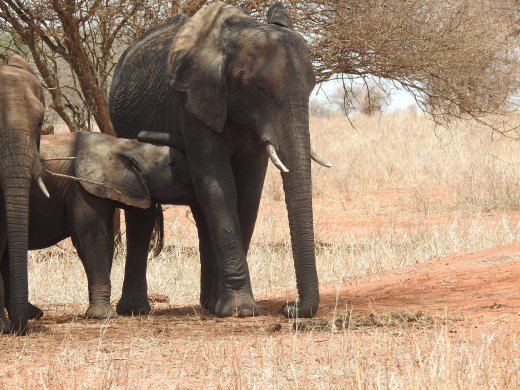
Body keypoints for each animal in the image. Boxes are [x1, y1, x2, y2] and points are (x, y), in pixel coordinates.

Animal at [0, 133, 195, 324]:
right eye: (171, 163)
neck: (123, 145)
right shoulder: (83, 188)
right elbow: (93, 240)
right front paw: (102, 316)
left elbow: (106, 241)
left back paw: (33, 314)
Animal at [110, 2, 330, 316]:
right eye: (258, 88)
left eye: (311, 88)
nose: (290, 307)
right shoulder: (192, 100)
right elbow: (218, 181)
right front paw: (240, 310)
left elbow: (249, 189)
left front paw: (225, 307)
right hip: (123, 125)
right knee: (142, 211)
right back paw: (135, 310)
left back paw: (208, 303)